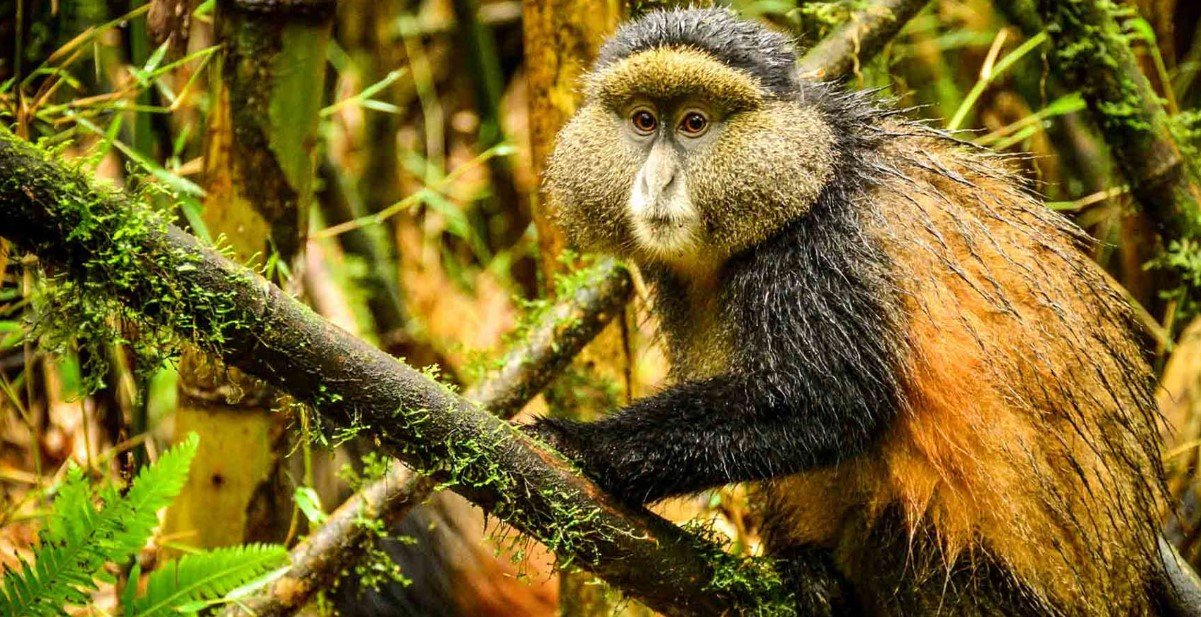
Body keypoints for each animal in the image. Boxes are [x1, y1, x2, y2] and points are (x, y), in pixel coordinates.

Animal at [524, 7, 1186, 616]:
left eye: (694, 123)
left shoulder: (820, 252)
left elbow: (830, 402)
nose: (657, 183)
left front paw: (581, 444)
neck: (809, 169)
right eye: (643, 121)